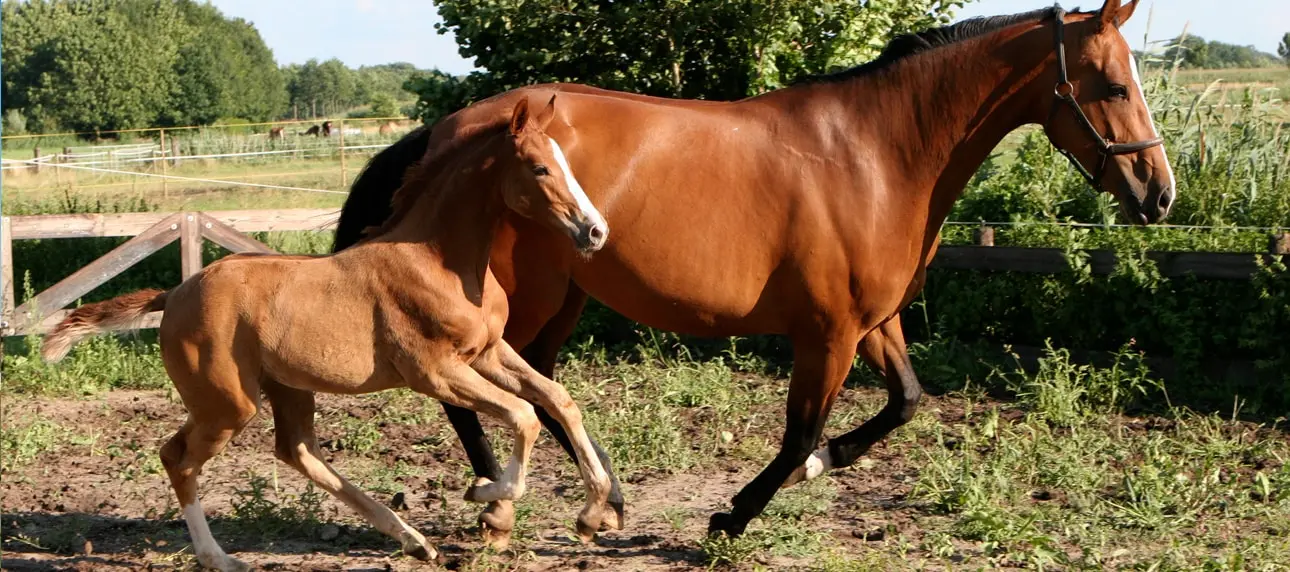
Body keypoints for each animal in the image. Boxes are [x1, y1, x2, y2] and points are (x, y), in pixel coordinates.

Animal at [42, 96, 616, 570]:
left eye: (567, 163)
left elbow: (558, 401)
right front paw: (488, 496)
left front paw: (591, 516)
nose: (596, 232)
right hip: (227, 403)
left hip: (285, 388)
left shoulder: (489, 352)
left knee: (296, 451)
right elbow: (524, 415)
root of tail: (174, 295)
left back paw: (414, 541)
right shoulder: (435, 372)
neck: (440, 261)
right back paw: (218, 558)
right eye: (540, 167)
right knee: (178, 459)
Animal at [335, 0, 1181, 539]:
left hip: (563, 293)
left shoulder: (873, 322)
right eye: (1113, 84)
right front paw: (732, 516)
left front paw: (821, 466)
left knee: (540, 382)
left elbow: (904, 402)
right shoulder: (828, 333)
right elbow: (798, 429)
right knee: (477, 385)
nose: (1160, 193)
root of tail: (445, 131)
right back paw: (495, 492)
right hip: (523, 292)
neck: (876, 154)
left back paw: (605, 499)